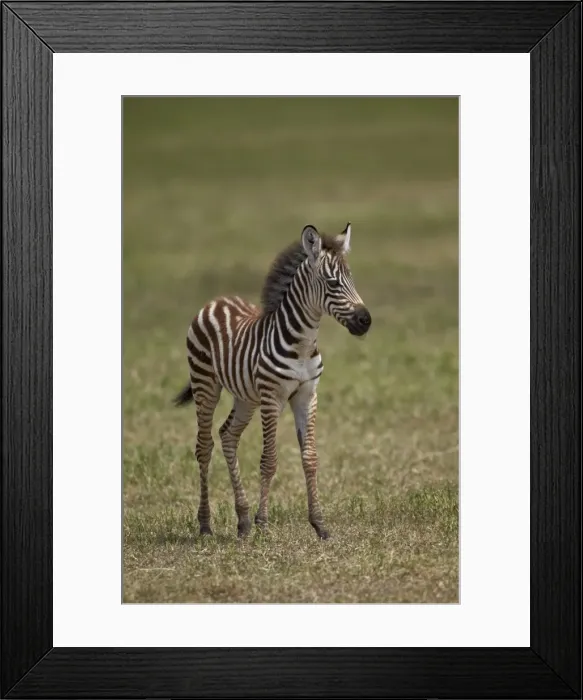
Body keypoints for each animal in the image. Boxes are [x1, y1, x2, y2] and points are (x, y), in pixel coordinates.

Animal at [173, 222, 371, 539]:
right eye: (332, 283)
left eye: (351, 279)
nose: (366, 321)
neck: (302, 345)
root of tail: (217, 300)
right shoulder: (272, 398)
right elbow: (269, 461)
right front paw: (263, 523)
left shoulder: (307, 395)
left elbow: (310, 458)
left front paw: (319, 525)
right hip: (206, 385)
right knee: (204, 447)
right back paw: (205, 524)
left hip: (245, 397)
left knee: (228, 435)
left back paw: (242, 520)